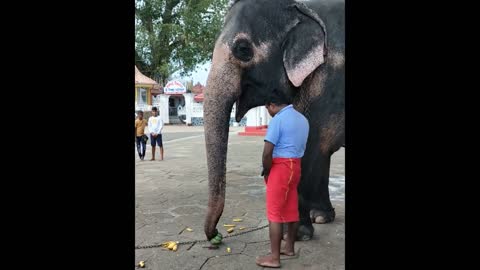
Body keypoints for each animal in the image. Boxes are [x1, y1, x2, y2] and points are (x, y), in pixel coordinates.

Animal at [204, 0, 344, 242]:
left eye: (243, 49)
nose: (215, 235)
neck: (303, 8)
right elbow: (319, 150)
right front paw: (320, 218)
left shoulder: (329, 83)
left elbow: (313, 145)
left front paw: (297, 235)